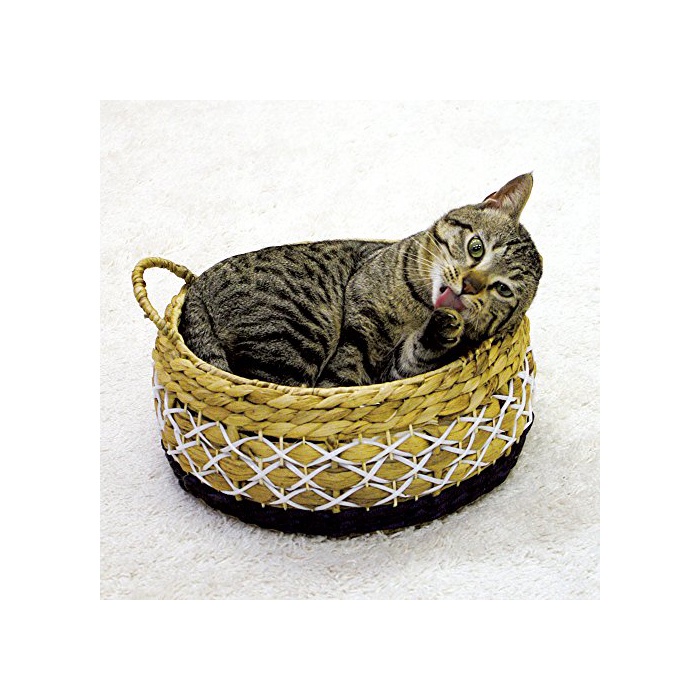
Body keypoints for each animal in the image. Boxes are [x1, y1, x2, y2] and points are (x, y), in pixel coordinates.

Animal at [178, 173, 542, 388]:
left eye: (502, 289)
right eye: (476, 247)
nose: (469, 285)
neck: (418, 309)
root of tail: (199, 285)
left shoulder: (395, 370)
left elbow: (414, 354)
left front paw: (443, 328)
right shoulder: (359, 332)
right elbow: (340, 379)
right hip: (299, 333)